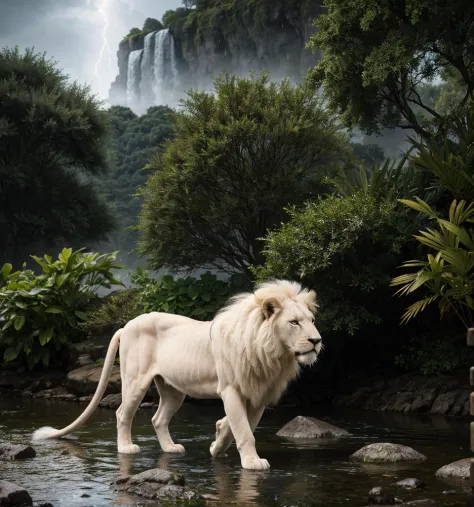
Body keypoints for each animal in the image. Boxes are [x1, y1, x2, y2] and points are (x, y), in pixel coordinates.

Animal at [32, 280, 322, 470]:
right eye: (294, 322)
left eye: (311, 320)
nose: (317, 341)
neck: (273, 354)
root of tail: (126, 324)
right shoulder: (231, 389)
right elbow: (243, 431)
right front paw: (252, 462)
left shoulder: (257, 394)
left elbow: (240, 426)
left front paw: (217, 445)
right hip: (135, 381)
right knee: (122, 413)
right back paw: (126, 447)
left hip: (173, 390)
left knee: (158, 419)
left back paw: (170, 448)